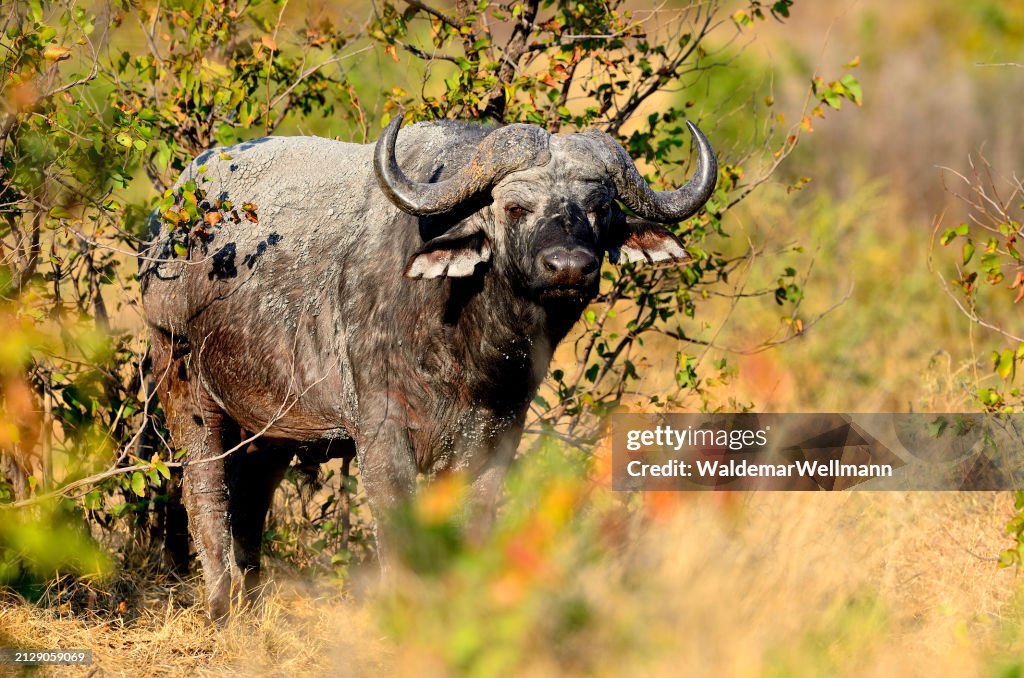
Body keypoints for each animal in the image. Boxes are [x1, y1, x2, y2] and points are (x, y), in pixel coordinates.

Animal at [140, 116, 717, 619]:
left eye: (598, 207)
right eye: (514, 207)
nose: (570, 267)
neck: (465, 348)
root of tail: (170, 220)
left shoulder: (496, 434)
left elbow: (473, 523)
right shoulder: (380, 432)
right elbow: (399, 529)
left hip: (275, 425)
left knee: (251, 498)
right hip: (183, 384)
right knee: (206, 492)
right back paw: (222, 609)